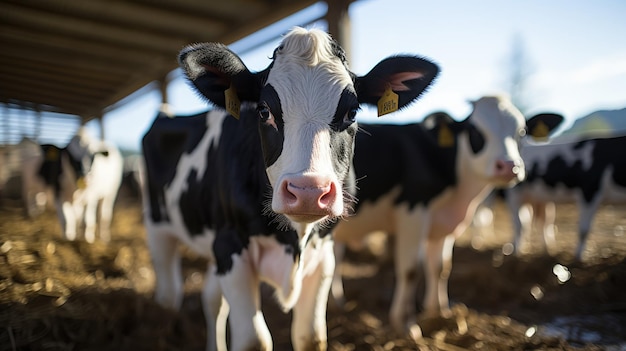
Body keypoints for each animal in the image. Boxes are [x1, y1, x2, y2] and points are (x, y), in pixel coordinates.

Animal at [140, 28, 436, 351]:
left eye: (353, 112)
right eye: (263, 111)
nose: (308, 192)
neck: (293, 238)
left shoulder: (323, 254)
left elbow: (311, 337)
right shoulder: (231, 245)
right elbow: (253, 341)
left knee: (212, 299)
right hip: (158, 226)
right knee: (169, 295)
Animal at [330, 95, 564, 336]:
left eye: (522, 132)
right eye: (475, 130)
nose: (509, 166)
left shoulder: (442, 226)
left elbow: (441, 267)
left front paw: (439, 313)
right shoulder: (413, 214)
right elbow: (411, 270)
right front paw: (405, 324)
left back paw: (337, 304)